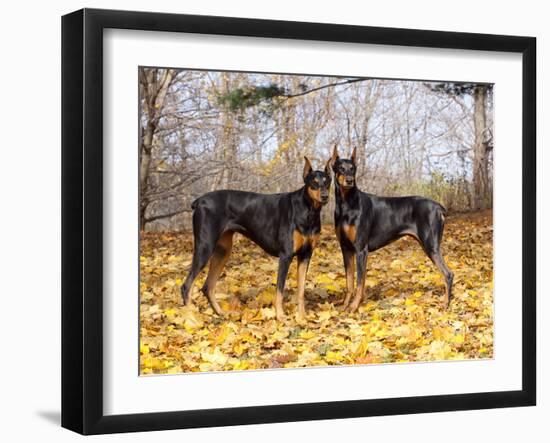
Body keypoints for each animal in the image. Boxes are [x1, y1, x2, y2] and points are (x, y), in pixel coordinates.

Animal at [181, 157, 332, 322]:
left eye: (327, 182)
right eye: (314, 182)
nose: (325, 196)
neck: (308, 210)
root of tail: (199, 201)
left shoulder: (305, 255)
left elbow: (301, 290)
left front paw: (302, 317)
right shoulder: (285, 256)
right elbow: (279, 290)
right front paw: (280, 316)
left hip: (223, 251)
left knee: (208, 286)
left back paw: (221, 313)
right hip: (205, 247)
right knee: (187, 286)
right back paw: (191, 318)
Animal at [332, 146, 452, 312]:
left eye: (353, 169)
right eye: (341, 168)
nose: (349, 180)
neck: (347, 204)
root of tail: (438, 207)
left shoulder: (361, 249)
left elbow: (360, 282)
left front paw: (354, 306)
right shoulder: (346, 249)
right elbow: (349, 282)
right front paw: (345, 305)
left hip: (431, 246)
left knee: (448, 274)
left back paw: (446, 303)